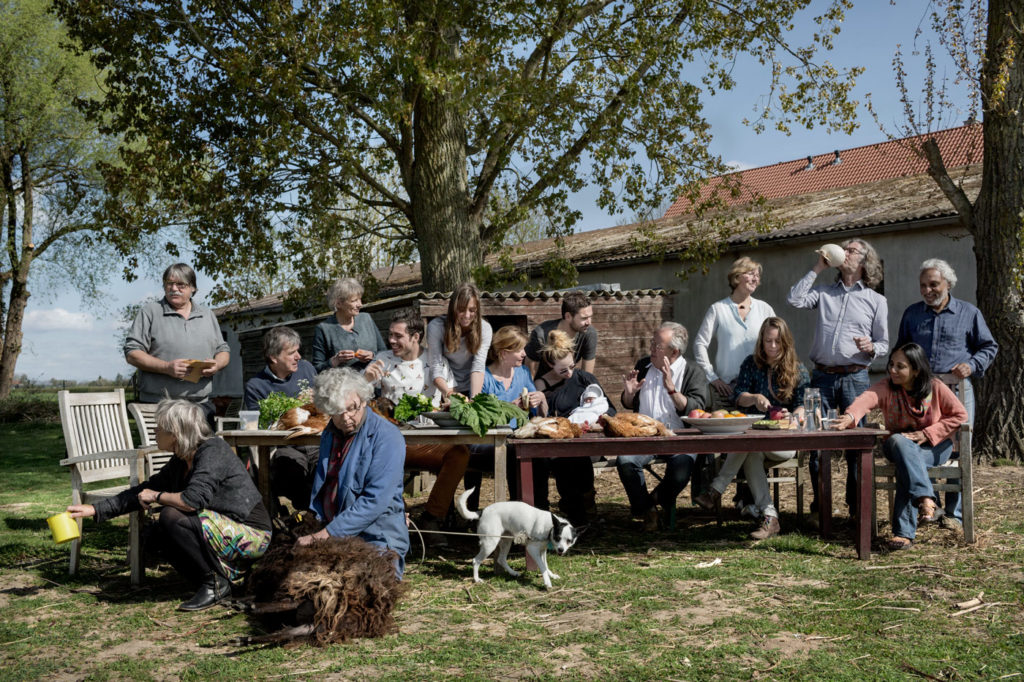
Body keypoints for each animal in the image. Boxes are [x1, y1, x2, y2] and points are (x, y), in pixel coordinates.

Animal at [236, 512, 403, 647]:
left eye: (288, 522)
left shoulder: (270, 581)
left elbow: (254, 594)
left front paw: (240, 601)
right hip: (325, 621)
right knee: (292, 629)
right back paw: (245, 639)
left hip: (315, 580)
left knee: (293, 601)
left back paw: (247, 608)